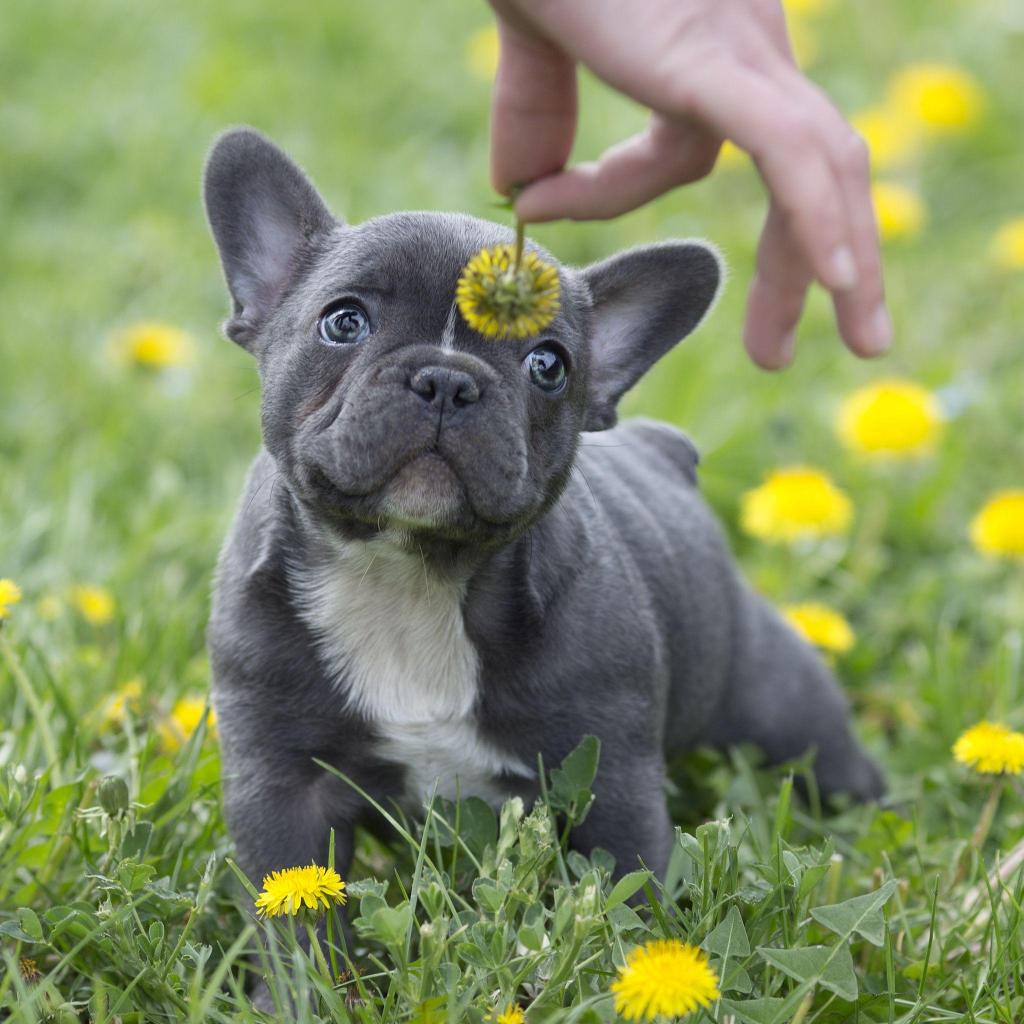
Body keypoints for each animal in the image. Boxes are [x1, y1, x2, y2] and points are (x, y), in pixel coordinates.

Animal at [203, 128, 884, 888]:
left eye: (549, 364)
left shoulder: (608, 782)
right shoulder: (283, 784)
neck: (408, 577)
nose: (447, 380)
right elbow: (295, 902)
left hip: (781, 707)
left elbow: (630, 888)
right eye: (344, 322)